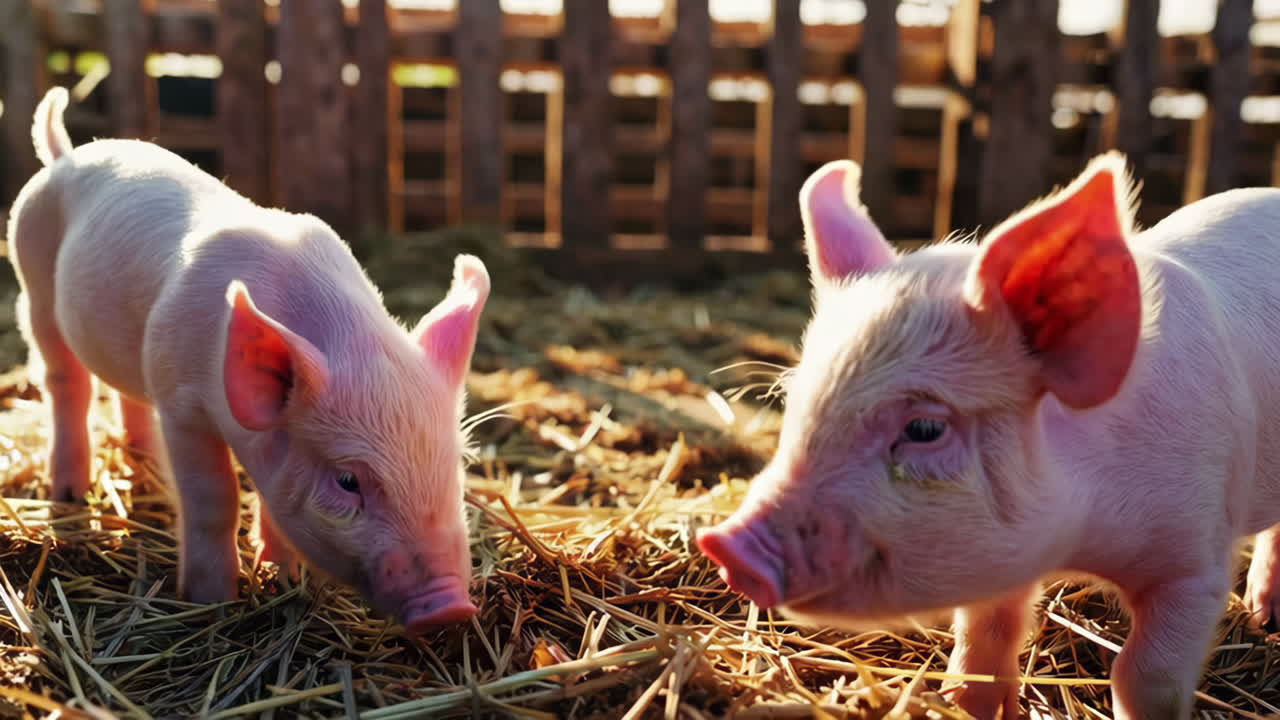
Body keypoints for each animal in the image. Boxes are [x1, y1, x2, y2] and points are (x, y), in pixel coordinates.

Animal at [7, 87, 486, 633]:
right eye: (348, 481)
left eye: (456, 464)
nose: (450, 606)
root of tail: (63, 155)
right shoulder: (182, 404)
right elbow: (215, 497)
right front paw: (212, 601)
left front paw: (283, 577)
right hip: (32, 278)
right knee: (64, 379)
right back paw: (68, 491)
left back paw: (147, 467)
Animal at [696, 151, 1280, 719]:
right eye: (795, 404)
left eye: (925, 428)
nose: (725, 544)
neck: (1085, 534)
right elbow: (984, 639)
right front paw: (964, 702)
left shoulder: (1196, 562)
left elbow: (1145, 677)